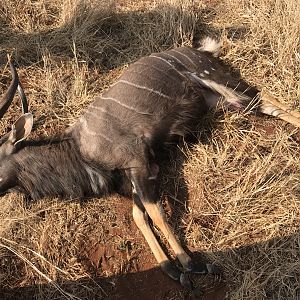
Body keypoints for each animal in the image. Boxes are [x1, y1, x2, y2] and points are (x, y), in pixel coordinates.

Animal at [0, 37, 300, 290]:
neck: (81, 151)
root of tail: (201, 50)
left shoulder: (142, 163)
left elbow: (155, 211)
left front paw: (192, 265)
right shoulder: (131, 179)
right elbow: (138, 215)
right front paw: (171, 268)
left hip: (215, 80)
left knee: (264, 97)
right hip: (217, 100)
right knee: (260, 102)